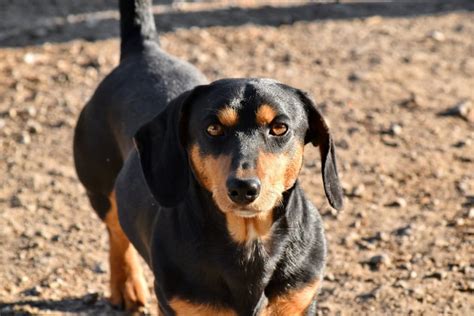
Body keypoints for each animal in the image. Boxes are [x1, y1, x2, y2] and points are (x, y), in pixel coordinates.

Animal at [72, 0, 342, 314]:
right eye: (213, 128)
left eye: (280, 128)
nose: (243, 188)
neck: (248, 241)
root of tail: (143, 51)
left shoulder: (300, 298)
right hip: (100, 187)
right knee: (116, 231)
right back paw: (126, 285)